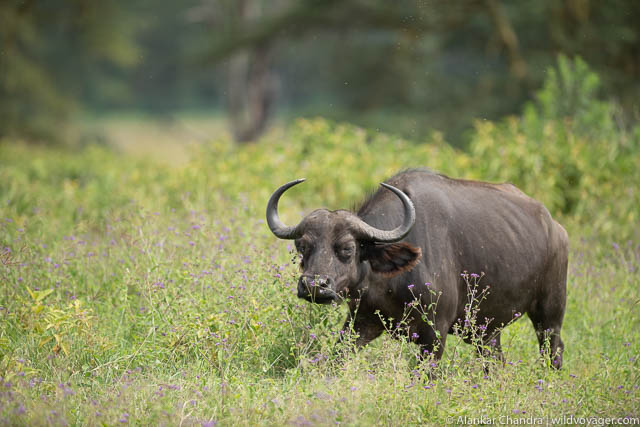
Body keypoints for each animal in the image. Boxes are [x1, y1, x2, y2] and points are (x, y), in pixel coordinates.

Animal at [266, 169, 568, 368]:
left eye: (347, 248)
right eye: (302, 246)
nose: (314, 286)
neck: (390, 281)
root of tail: (555, 228)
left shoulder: (435, 335)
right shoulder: (361, 322)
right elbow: (338, 356)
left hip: (549, 313)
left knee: (553, 348)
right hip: (485, 330)